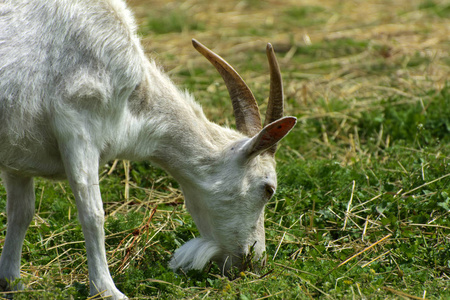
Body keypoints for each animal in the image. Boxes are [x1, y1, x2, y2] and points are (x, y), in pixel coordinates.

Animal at [0, 0, 298, 298]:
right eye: (268, 189)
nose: (255, 260)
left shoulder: (18, 153)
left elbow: (21, 213)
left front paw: (12, 282)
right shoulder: (78, 127)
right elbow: (93, 214)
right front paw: (107, 290)